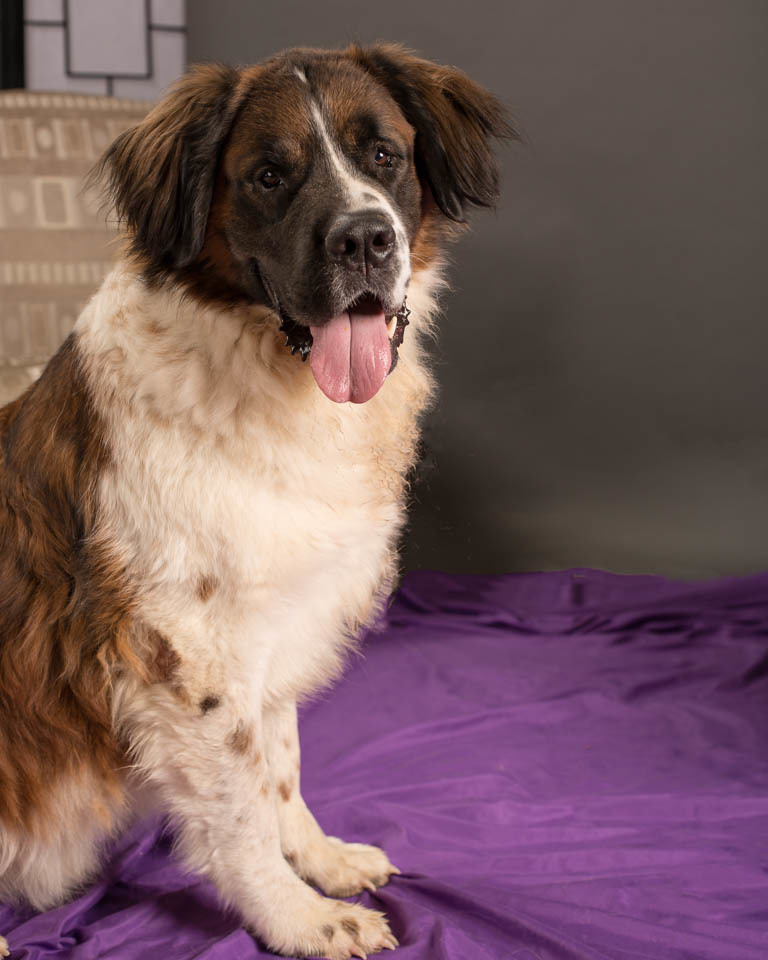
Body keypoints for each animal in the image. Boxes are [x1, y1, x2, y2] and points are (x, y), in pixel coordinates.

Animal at [0, 41, 512, 956]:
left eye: (384, 155)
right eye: (270, 176)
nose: (365, 238)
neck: (269, 383)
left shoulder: (273, 626)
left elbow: (280, 769)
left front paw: (320, 861)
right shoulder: (187, 654)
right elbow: (237, 811)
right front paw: (296, 916)